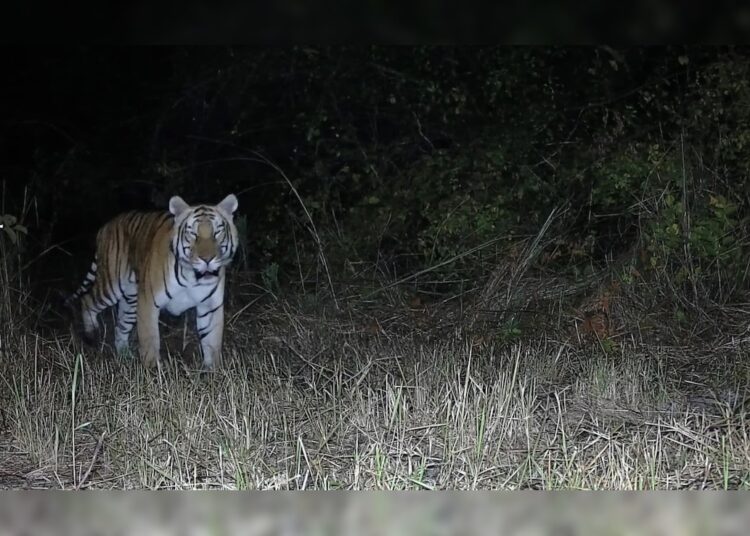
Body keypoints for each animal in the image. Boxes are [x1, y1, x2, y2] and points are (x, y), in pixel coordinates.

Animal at [65, 194, 239, 370]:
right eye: (192, 233)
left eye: (217, 232)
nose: (207, 259)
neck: (193, 276)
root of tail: (106, 226)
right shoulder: (148, 302)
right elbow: (149, 340)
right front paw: (153, 371)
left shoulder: (210, 306)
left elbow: (212, 343)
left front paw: (214, 372)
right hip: (112, 285)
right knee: (87, 300)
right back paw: (91, 334)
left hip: (131, 300)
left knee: (120, 327)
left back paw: (125, 356)